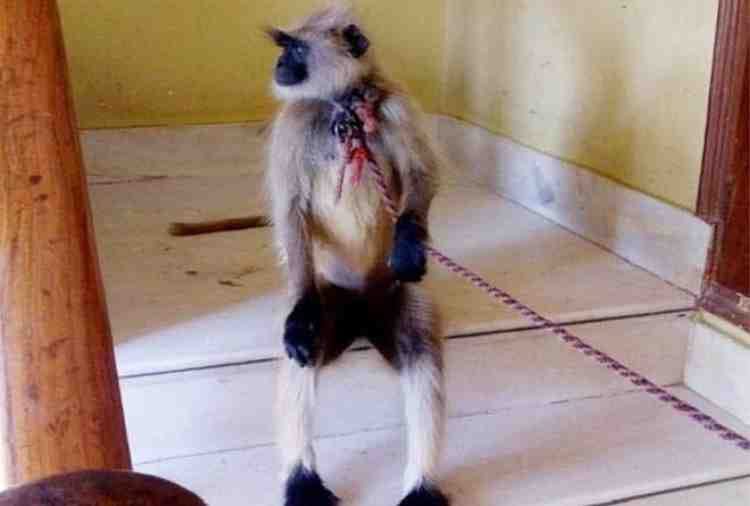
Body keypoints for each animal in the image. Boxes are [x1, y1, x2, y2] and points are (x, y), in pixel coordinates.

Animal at [267, 6, 449, 506]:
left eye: (295, 48)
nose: (279, 65)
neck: (343, 106)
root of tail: (363, 310)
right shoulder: (294, 120)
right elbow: (289, 213)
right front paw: (299, 319)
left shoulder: (395, 105)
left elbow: (424, 173)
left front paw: (408, 243)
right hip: (333, 299)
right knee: (304, 348)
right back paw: (301, 479)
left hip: (392, 297)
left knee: (419, 352)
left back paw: (422, 485)